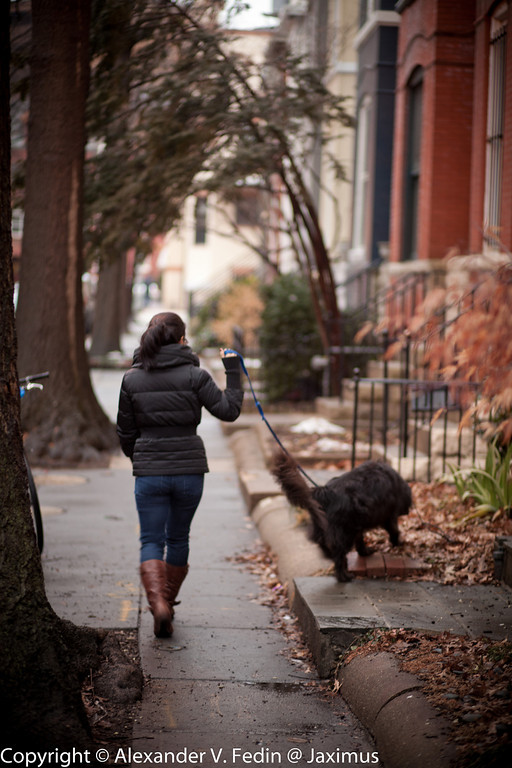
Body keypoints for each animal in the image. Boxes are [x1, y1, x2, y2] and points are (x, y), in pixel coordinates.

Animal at [272, 450, 412, 584]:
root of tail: (325, 493)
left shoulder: (358, 524)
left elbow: (360, 540)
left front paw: (365, 552)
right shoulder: (388, 516)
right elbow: (394, 530)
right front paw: (397, 542)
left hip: (326, 527)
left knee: (325, 546)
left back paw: (333, 559)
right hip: (344, 533)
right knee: (338, 555)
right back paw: (344, 576)